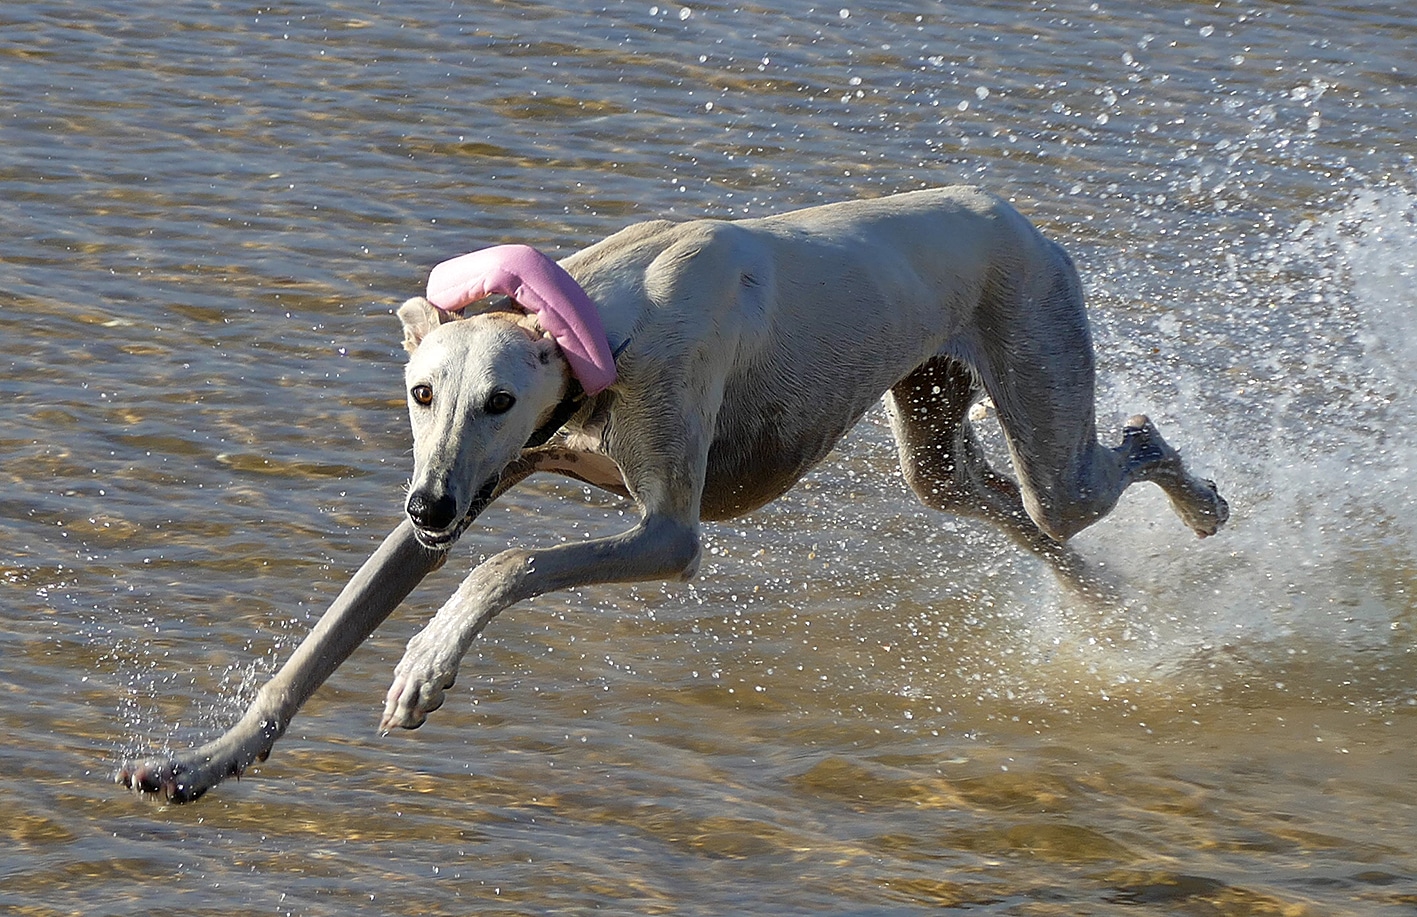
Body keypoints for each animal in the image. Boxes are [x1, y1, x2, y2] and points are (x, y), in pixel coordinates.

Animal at [119, 188, 1229, 805]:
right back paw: (1110, 605)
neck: (601, 323)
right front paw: (200, 760)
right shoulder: (471, 486)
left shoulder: (668, 533)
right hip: (938, 446)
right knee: (1018, 513)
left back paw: (1204, 503)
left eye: (500, 397)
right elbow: (313, 650)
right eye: (422, 392)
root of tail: (1012, 214)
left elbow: (506, 560)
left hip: (1043, 393)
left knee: (1120, 449)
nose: (427, 508)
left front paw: (426, 665)